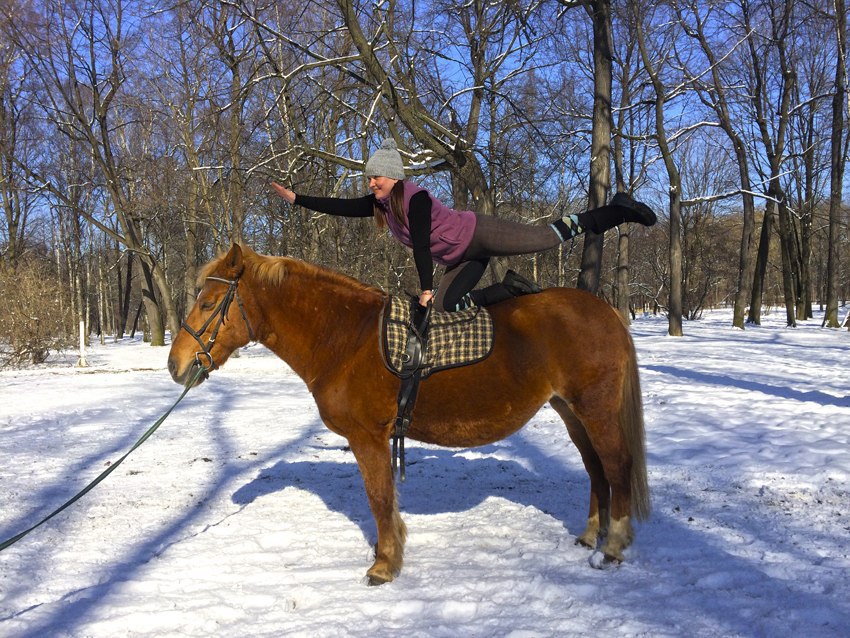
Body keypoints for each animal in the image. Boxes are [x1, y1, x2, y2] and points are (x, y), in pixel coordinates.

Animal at [167, 245, 648, 584]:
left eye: (208, 304)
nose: (176, 365)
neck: (347, 337)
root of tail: (606, 310)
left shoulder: (369, 438)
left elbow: (379, 500)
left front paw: (384, 566)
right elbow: (385, 501)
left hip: (596, 411)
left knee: (617, 467)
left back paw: (613, 548)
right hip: (570, 411)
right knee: (596, 470)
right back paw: (590, 536)